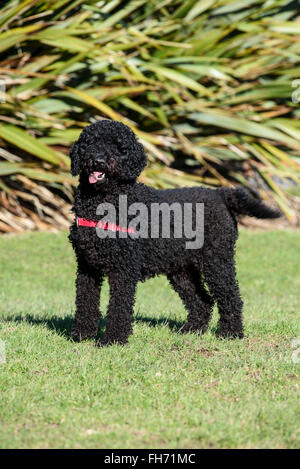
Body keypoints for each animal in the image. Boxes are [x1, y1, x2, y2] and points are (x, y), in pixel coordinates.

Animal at [69, 119, 280, 346]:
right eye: (90, 143)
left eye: (119, 148)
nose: (99, 161)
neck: (104, 202)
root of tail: (219, 193)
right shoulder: (87, 265)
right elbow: (85, 300)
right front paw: (82, 334)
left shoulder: (123, 269)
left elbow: (119, 306)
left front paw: (112, 340)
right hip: (182, 269)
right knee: (202, 301)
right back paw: (192, 330)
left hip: (217, 261)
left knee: (231, 297)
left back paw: (231, 332)